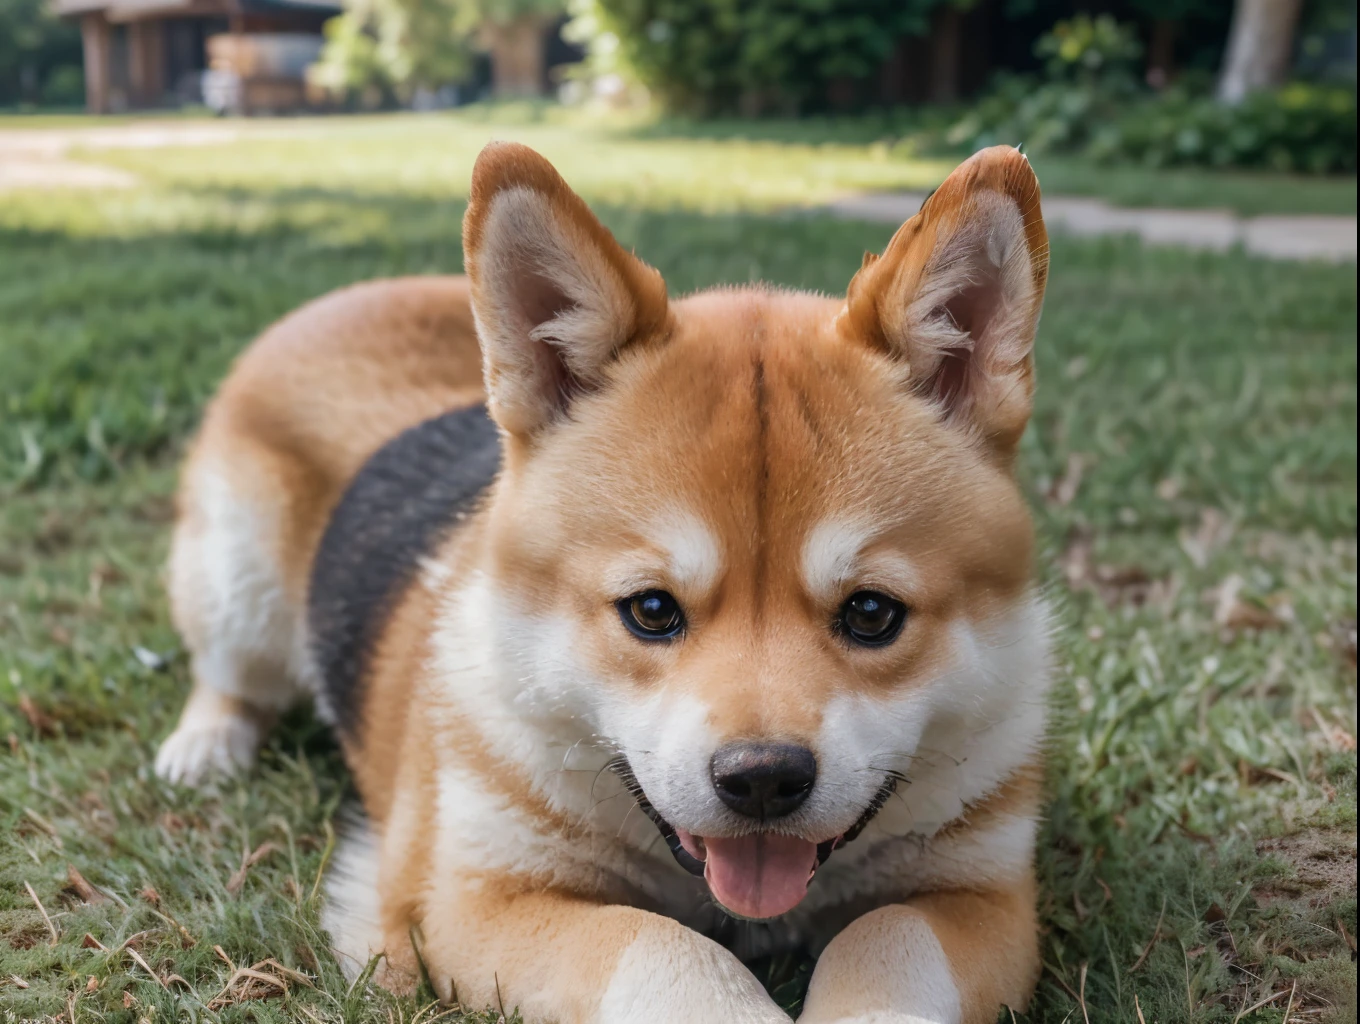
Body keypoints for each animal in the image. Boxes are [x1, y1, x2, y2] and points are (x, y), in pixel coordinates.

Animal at [156, 142, 1049, 1022]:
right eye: (651, 610)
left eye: (871, 613)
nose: (762, 780)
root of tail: (339, 300)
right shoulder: (471, 901)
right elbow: (660, 950)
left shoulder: (986, 898)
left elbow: (884, 939)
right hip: (238, 584)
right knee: (229, 673)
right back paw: (205, 744)